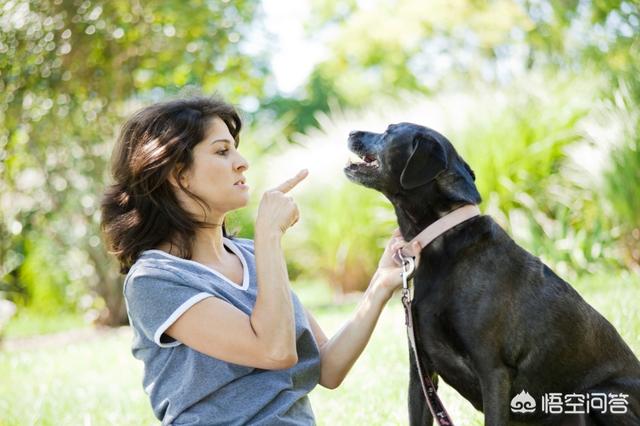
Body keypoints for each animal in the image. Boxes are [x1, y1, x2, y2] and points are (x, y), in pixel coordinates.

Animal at [344, 121, 640, 424]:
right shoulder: (421, 375)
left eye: (389, 131)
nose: (351, 132)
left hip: (598, 396)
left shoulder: (493, 371)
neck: (442, 237)